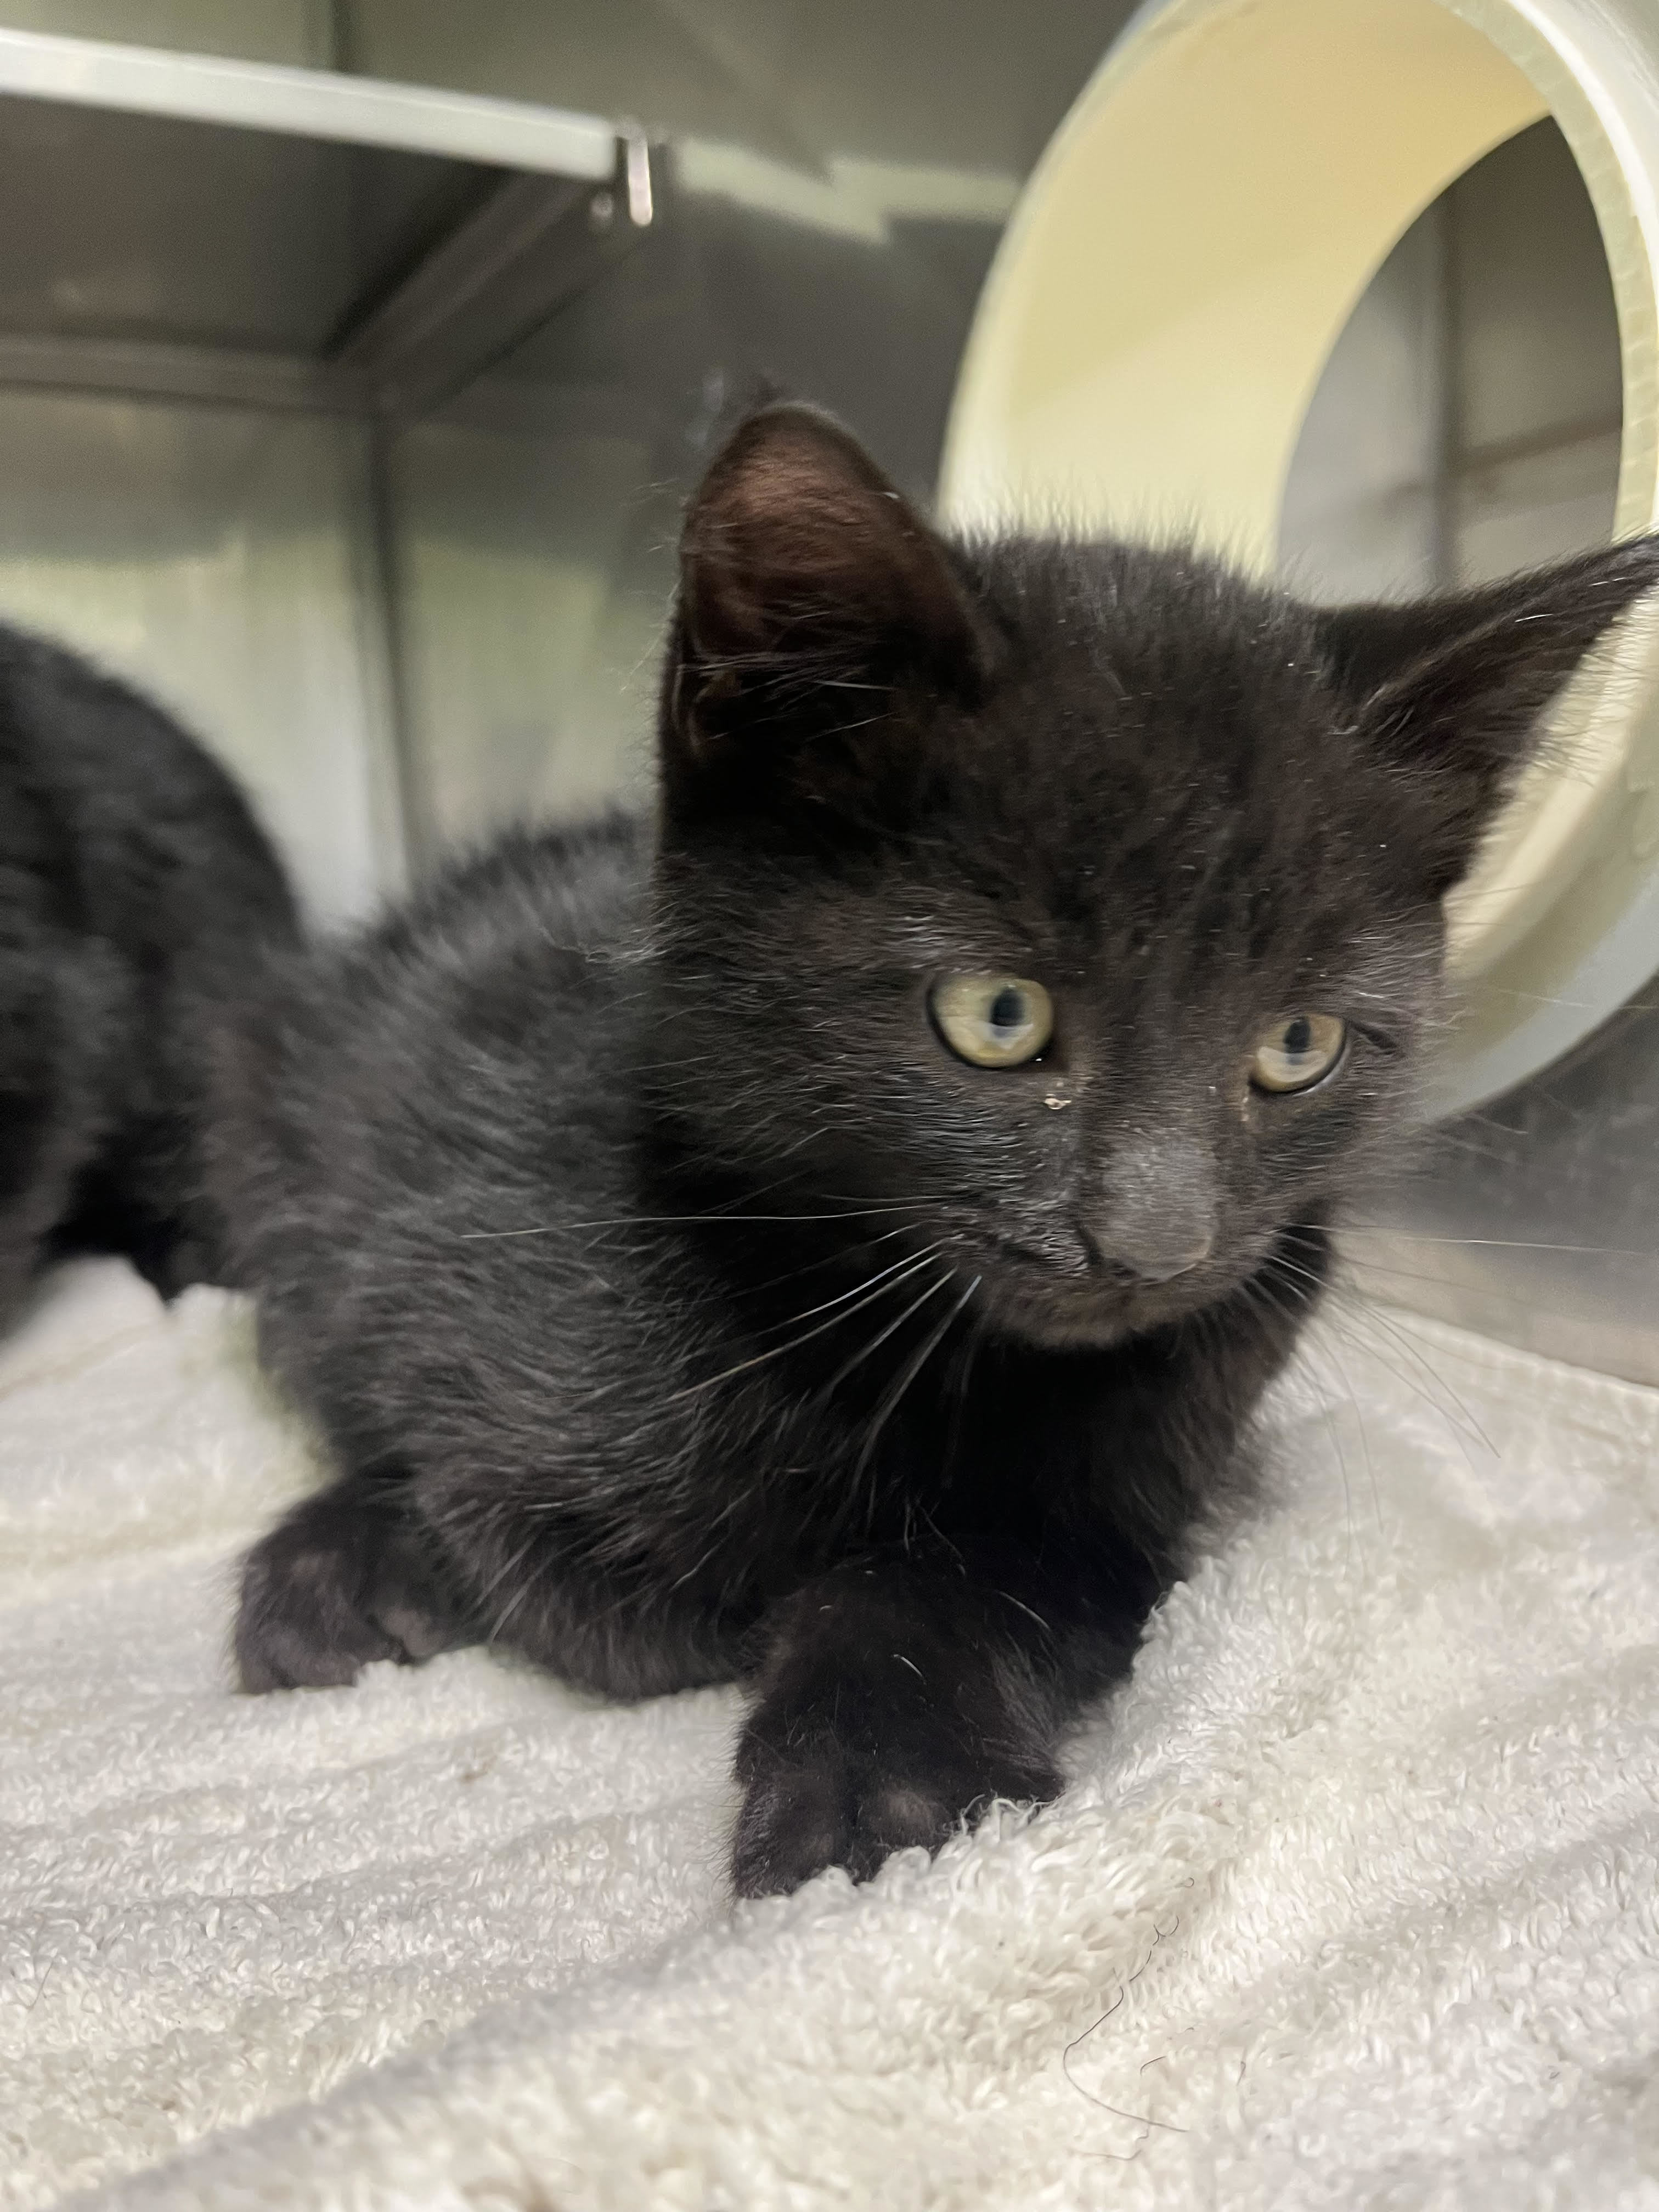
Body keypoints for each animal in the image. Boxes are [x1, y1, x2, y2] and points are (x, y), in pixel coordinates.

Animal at [224, 407, 1659, 1893]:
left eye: (1298, 1044)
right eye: (998, 1016)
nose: (1156, 1242)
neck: (907, 1348)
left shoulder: (1139, 1499)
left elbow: (972, 1579)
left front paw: (883, 1780)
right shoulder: (483, 1367)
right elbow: (607, 1583)